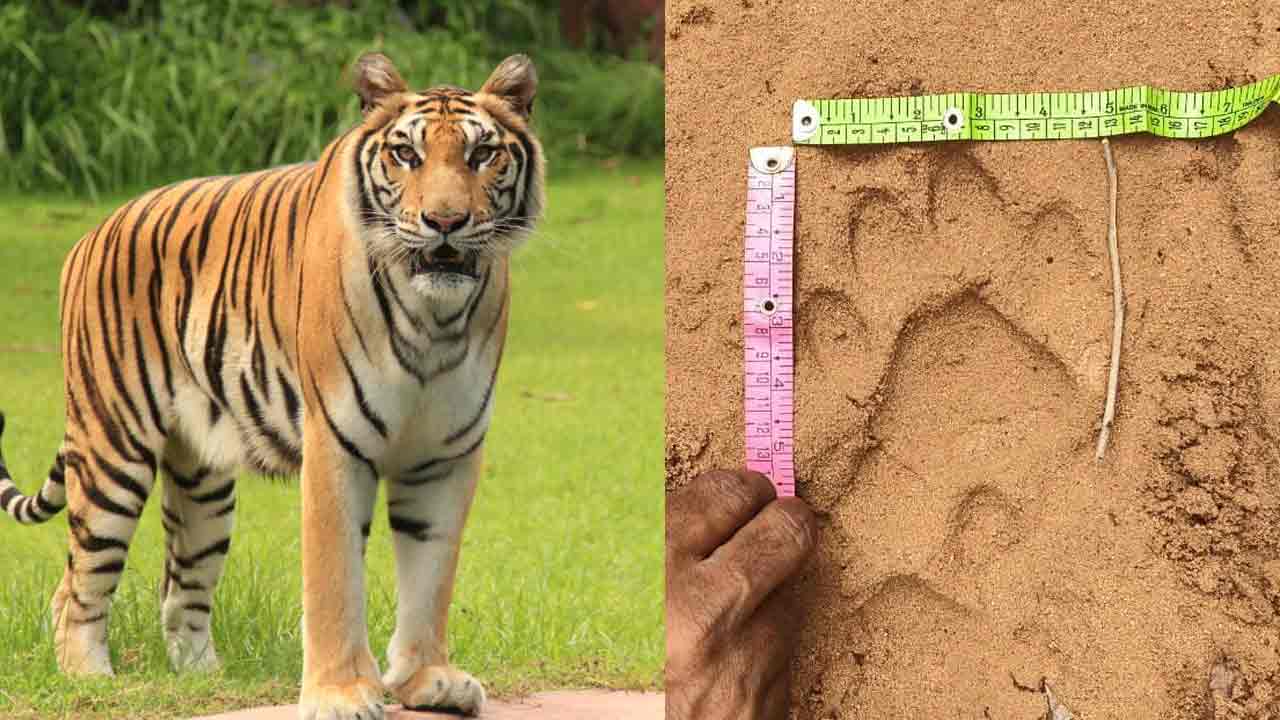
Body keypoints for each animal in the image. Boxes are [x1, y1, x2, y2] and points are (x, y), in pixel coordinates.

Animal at [0, 51, 543, 720]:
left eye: (481, 154)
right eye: (406, 155)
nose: (445, 221)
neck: (435, 318)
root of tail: (92, 233)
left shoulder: (445, 455)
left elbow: (432, 572)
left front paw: (428, 679)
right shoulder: (337, 442)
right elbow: (335, 578)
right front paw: (340, 693)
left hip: (203, 484)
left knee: (180, 588)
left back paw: (203, 679)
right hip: (112, 450)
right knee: (76, 582)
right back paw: (91, 679)